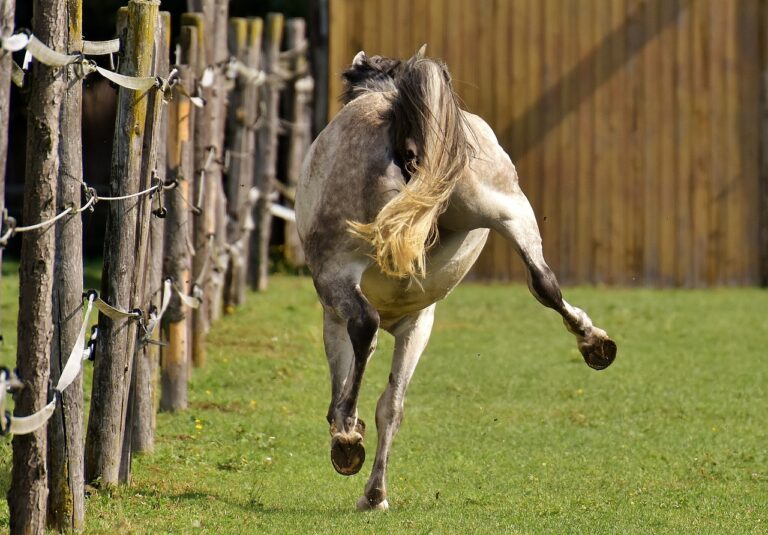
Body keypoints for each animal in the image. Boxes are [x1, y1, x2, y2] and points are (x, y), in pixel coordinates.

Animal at [294, 47, 616, 510]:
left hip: (338, 273)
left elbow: (349, 381)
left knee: (365, 324)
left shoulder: (335, 318)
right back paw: (595, 343)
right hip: (509, 211)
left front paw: (347, 440)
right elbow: (391, 406)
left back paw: (347, 439)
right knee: (544, 282)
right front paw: (375, 495)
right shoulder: (418, 324)